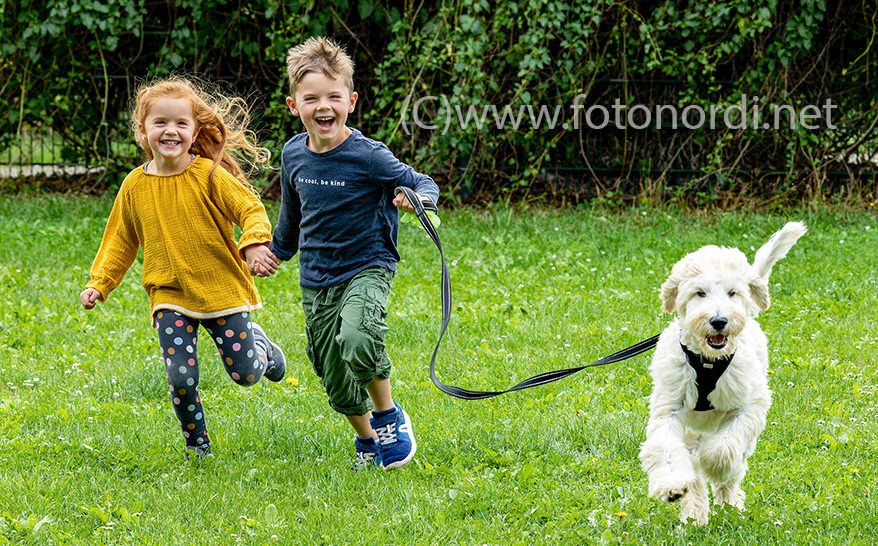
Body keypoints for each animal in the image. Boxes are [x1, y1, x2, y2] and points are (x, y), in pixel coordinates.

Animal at [644, 220, 808, 524]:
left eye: (733, 292)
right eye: (700, 292)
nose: (719, 321)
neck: (709, 362)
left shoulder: (749, 404)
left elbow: (723, 448)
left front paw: (714, 466)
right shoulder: (669, 408)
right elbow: (667, 449)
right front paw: (672, 484)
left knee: (729, 462)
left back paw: (728, 502)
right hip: (692, 429)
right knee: (693, 470)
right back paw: (694, 514)